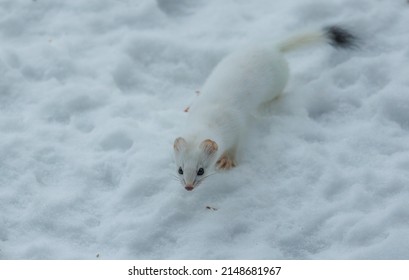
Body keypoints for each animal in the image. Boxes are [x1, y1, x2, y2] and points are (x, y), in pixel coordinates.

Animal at [174, 26, 356, 191]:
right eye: (180, 169)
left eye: (201, 170)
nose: (188, 186)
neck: (208, 113)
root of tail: (271, 48)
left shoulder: (237, 124)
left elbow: (236, 144)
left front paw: (227, 160)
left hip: (277, 83)